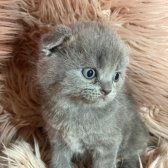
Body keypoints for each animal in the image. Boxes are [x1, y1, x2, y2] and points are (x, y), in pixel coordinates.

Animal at [36, 21, 148, 168]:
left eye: (116, 76)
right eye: (90, 73)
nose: (107, 90)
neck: (76, 109)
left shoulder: (108, 144)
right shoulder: (58, 139)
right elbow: (60, 161)